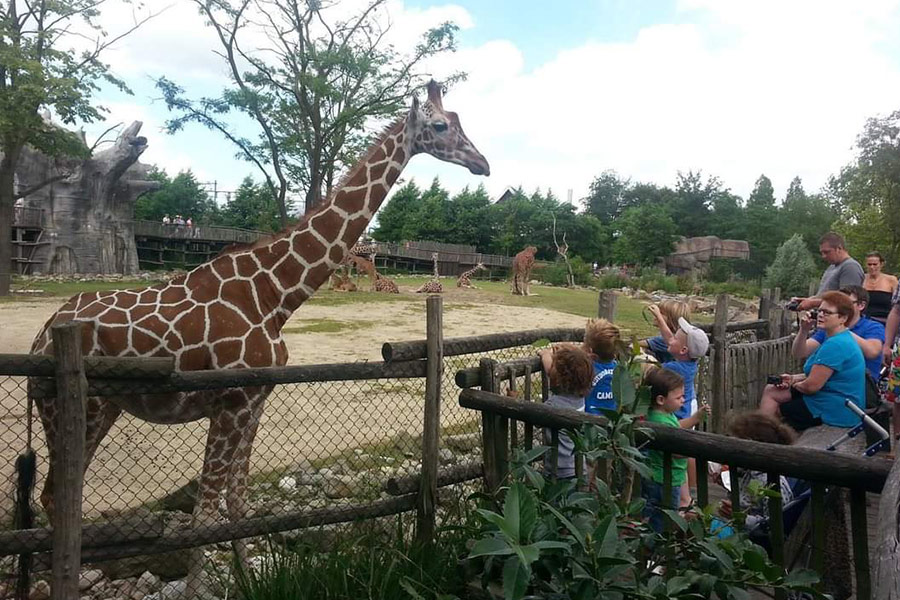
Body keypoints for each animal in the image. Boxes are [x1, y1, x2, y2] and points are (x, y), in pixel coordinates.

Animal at [26, 80, 488, 594]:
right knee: (54, 497)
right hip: (70, 409)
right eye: (440, 125)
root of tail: (42, 336)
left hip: (102, 408)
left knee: (59, 497)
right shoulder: (229, 402)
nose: (482, 163)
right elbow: (205, 516)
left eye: (459, 120)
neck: (275, 295)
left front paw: (248, 583)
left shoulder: (254, 400)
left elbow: (238, 504)